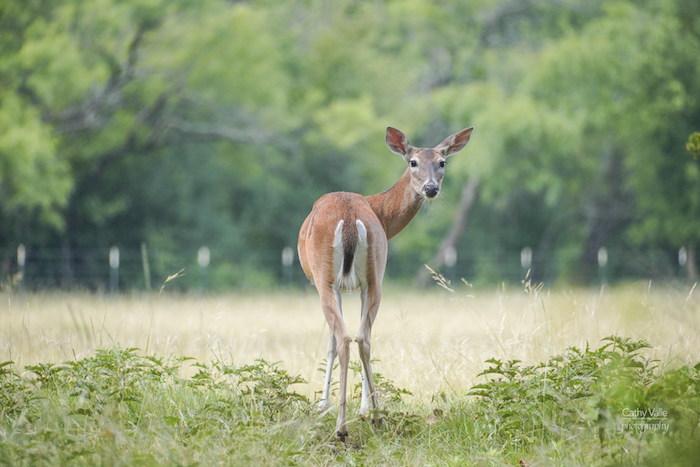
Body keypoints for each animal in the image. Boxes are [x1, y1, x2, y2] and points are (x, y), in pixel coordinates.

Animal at [292, 124, 474, 438]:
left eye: (442, 162)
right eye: (413, 162)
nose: (431, 188)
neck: (381, 215)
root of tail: (350, 217)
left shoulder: (333, 284)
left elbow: (330, 343)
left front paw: (323, 405)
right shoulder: (358, 284)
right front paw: (360, 408)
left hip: (325, 277)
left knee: (345, 338)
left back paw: (343, 426)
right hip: (374, 276)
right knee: (363, 337)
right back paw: (375, 415)